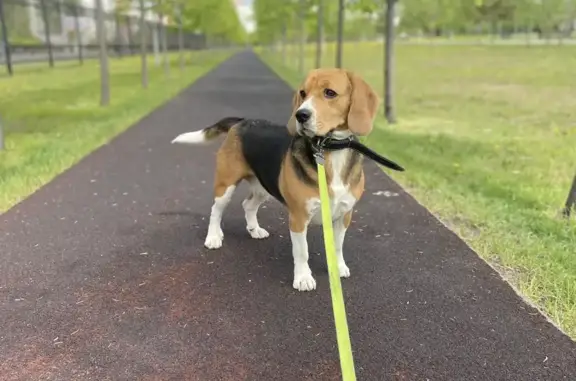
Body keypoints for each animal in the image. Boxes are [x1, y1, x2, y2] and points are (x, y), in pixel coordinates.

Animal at [171, 68, 378, 292]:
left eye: (330, 93)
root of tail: (242, 121)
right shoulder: (298, 217)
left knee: (248, 205)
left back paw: (254, 230)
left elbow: (338, 246)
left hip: (263, 186)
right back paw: (213, 237)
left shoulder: (344, 215)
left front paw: (338, 268)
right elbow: (302, 252)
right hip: (226, 184)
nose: (300, 115)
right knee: (215, 211)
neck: (330, 151)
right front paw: (303, 278)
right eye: (303, 93)